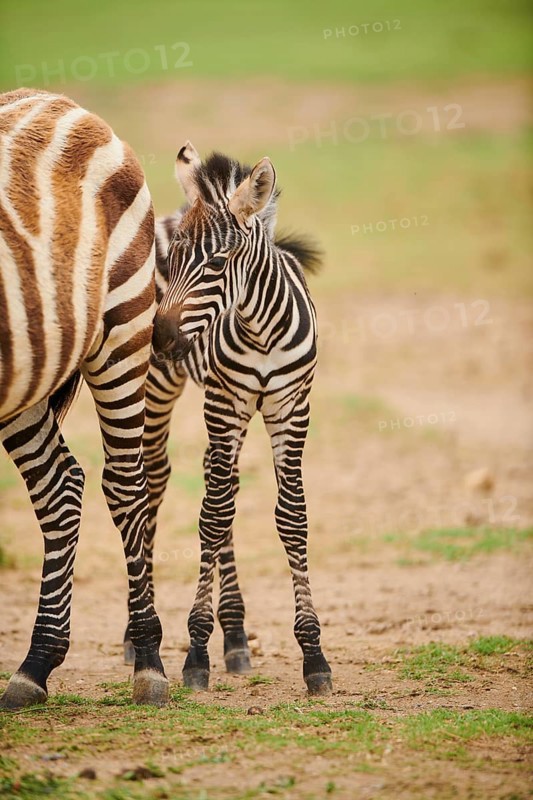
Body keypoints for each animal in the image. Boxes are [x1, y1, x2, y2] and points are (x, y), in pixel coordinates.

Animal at [0, 88, 168, 709]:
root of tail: (52, 98)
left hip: (123, 327)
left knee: (126, 486)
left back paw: (148, 662)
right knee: (59, 487)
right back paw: (36, 665)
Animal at [148, 142, 332, 695]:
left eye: (218, 261)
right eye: (173, 260)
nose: (160, 340)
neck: (260, 328)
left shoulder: (292, 406)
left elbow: (291, 518)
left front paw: (314, 656)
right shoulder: (225, 400)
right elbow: (211, 519)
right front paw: (194, 654)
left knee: (220, 484)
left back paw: (233, 637)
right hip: (171, 392)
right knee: (159, 485)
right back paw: (141, 642)